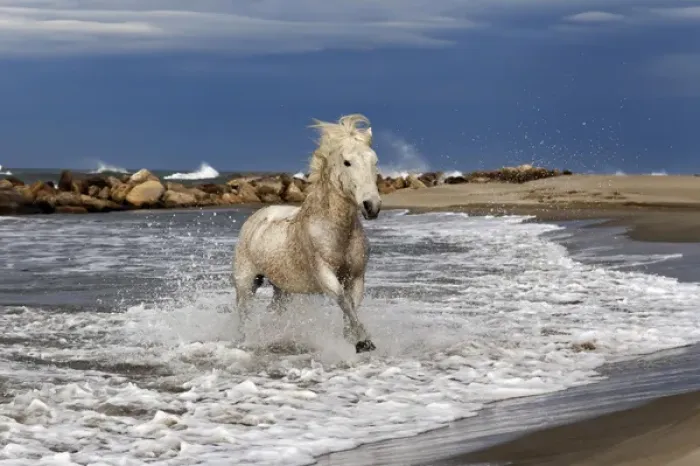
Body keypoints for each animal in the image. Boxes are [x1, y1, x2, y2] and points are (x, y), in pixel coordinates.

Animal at [232, 113, 382, 353]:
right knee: (243, 314)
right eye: (347, 162)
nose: (372, 206)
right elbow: (343, 300)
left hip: (282, 288)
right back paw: (244, 341)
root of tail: (256, 217)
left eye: (374, 161)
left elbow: (352, 305)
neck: (335, 230)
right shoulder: (324, 273)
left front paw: (353, 338)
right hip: (247, 283)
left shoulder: (357, 277)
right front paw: (362, 341)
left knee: (274, 310)